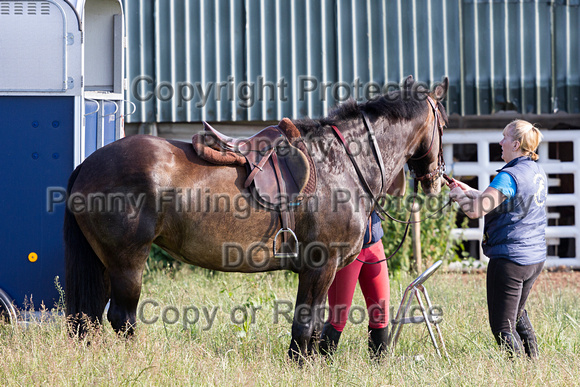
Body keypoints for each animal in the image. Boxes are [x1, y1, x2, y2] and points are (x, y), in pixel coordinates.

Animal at [65, 75, 450, 360]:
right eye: (444, 124)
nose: (436, 178)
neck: (339, 163)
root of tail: (88, 165)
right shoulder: (321, 265)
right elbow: (305, 325)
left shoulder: (324, 268)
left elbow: (314, 323)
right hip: (127, 261)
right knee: (121, 318)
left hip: (104, 263)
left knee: (91, 317)